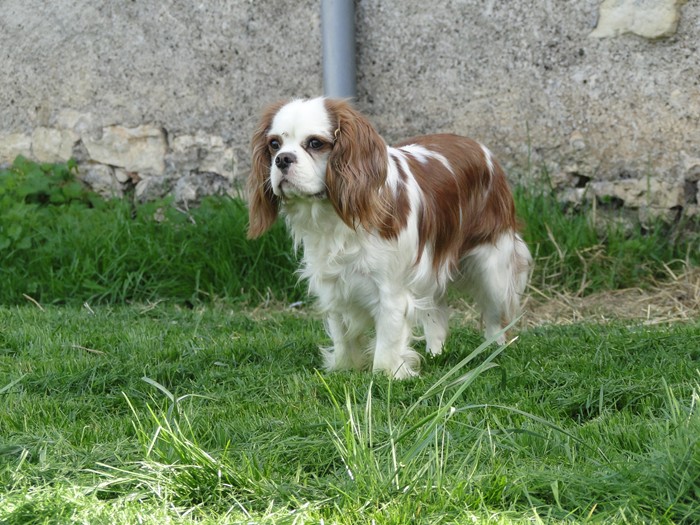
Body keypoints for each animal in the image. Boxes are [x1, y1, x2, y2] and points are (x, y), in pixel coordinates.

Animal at [246, 97, 532, 376]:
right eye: (274, 144)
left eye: (315, 143)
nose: (282, 159)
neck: (337, 217)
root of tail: (479, 147)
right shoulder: (333, 285)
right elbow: (342, 336)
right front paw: (343, 370)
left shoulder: (391, 291)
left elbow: (386, 343)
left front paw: (384, 378)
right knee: (436, 314)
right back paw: (436, 353)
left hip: (493, 268)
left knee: (494, 317)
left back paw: (492, 352)